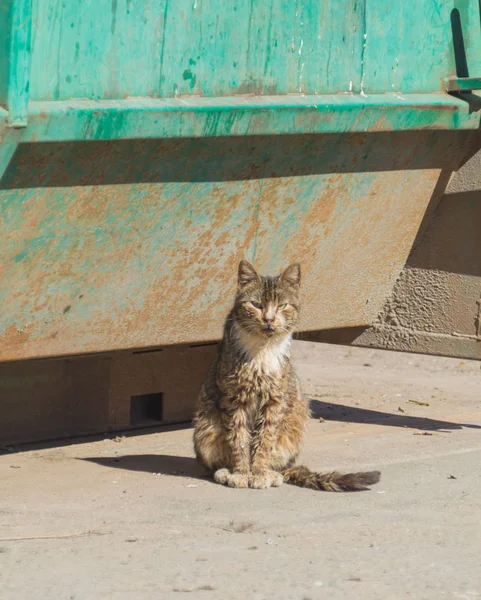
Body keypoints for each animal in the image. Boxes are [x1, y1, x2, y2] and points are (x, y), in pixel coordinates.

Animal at [191, 260, 378, 490]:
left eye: (282, 306)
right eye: (256, 304)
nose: (269, 319)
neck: (263, 349)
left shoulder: (275, 400)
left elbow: (265, 439)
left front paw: (259, 473)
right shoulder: (234, 399)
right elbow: (239, 439)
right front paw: (242, 473)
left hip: (296, 420)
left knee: (281, 463)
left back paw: (272, 473)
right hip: (204, 427)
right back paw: (225, 471)